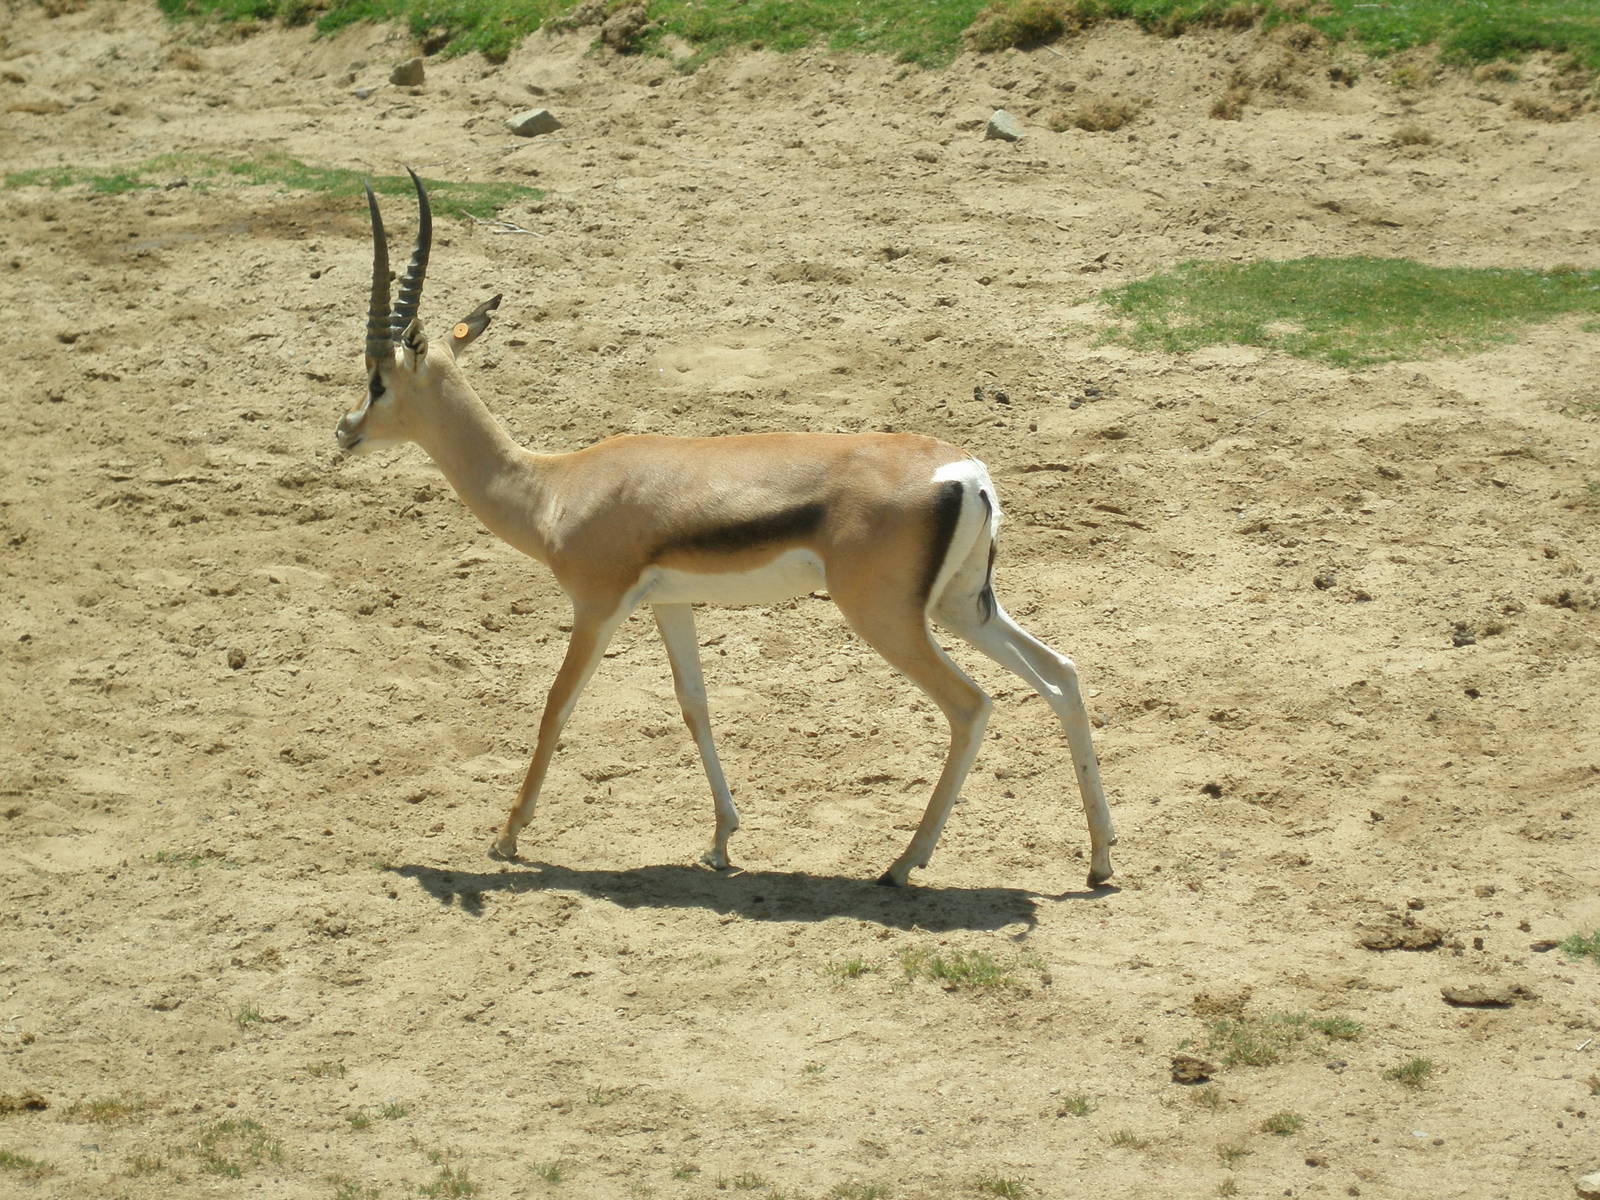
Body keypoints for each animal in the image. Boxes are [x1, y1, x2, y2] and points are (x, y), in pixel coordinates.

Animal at [337, 170, 1116, 888]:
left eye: (378, 379)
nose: (345, 430)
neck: (552, 487)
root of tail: (966, 472)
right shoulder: (672, 605)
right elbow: (695, 706)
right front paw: (720, 842)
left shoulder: (597, 605)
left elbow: (557, 706)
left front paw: (506, 837)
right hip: (960, 606)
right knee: (1061, 675)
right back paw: (1100, 861)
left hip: (888, 618)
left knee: (972, 706)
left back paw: (902, 864)